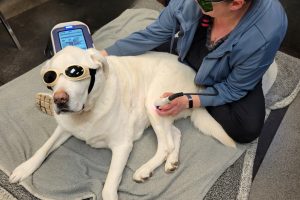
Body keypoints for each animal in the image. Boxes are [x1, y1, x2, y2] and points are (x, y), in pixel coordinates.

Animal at [9, 46, 236, 199]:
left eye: (76, 72)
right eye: (50, 77)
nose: (59, 99)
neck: (89, 109)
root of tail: (195, 78)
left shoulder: (122, 146)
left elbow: (109, 186)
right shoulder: (64, 127)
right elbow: (43, 148)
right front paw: (24, 168)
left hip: (153, 102)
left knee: (166, 144)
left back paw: (145, 169)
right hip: (161, 111)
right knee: (175, 136)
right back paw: (171, 162)